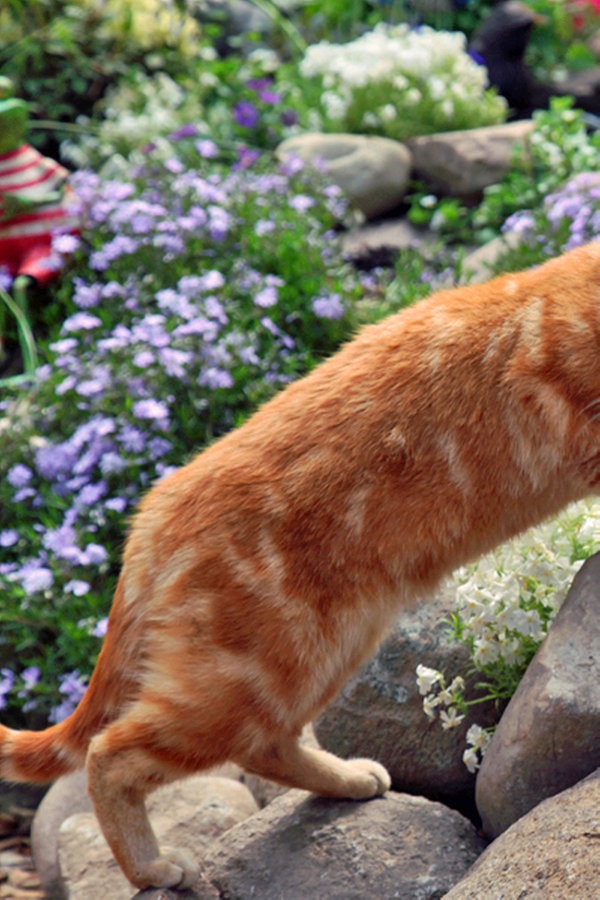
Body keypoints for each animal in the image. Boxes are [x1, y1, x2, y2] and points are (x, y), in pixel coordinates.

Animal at [1, 243, 600, 888]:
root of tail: (148, 522)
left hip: (325, 653)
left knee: (264, 746)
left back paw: (348, 780)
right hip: (249, 678)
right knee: (111, 755)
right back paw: (151, 867)